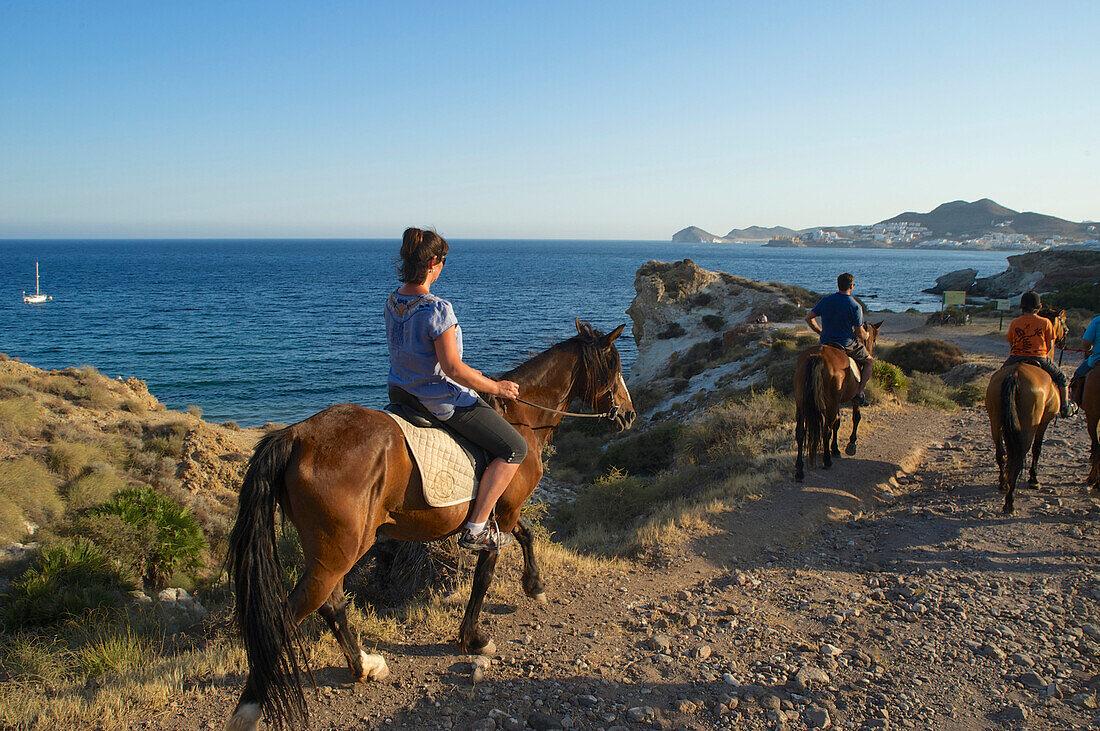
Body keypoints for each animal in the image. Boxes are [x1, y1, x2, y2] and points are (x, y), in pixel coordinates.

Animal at [224, 318, 638, 729]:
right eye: (614, 365)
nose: (630, 414)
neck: (521, 418)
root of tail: (295, 436)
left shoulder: (504, 513)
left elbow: (526, 534)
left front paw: (534, 586)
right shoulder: (503, 511)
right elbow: (485, 575)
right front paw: (473, 638)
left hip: (334, 552)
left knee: (332, 603)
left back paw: (364, 666)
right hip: (338, 551)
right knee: (287, 616)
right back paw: (249, 710)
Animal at [792, 323, 884, 481]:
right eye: (874, 339)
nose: (872, 351)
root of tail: (818, 355)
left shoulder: (837, 402)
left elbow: (838, 422)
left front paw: (835, 449)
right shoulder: (852, 399)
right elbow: (855, 418)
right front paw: (851, 444)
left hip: (802, 401)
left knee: (800, 432)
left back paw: (799, 470)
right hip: (830, 401)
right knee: (826, 430)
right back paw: (827, 460)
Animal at [990, 305, 1064, 510]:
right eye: (1063, 322)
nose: (1064, 338)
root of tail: (1015, 374)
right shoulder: (1044, 420)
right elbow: (1038, 448)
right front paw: (1034, 479)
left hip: (995, 420)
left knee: (1002, 452)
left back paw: (1003, 484)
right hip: (1029, 423)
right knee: (1019, 454)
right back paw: (1010, 500)